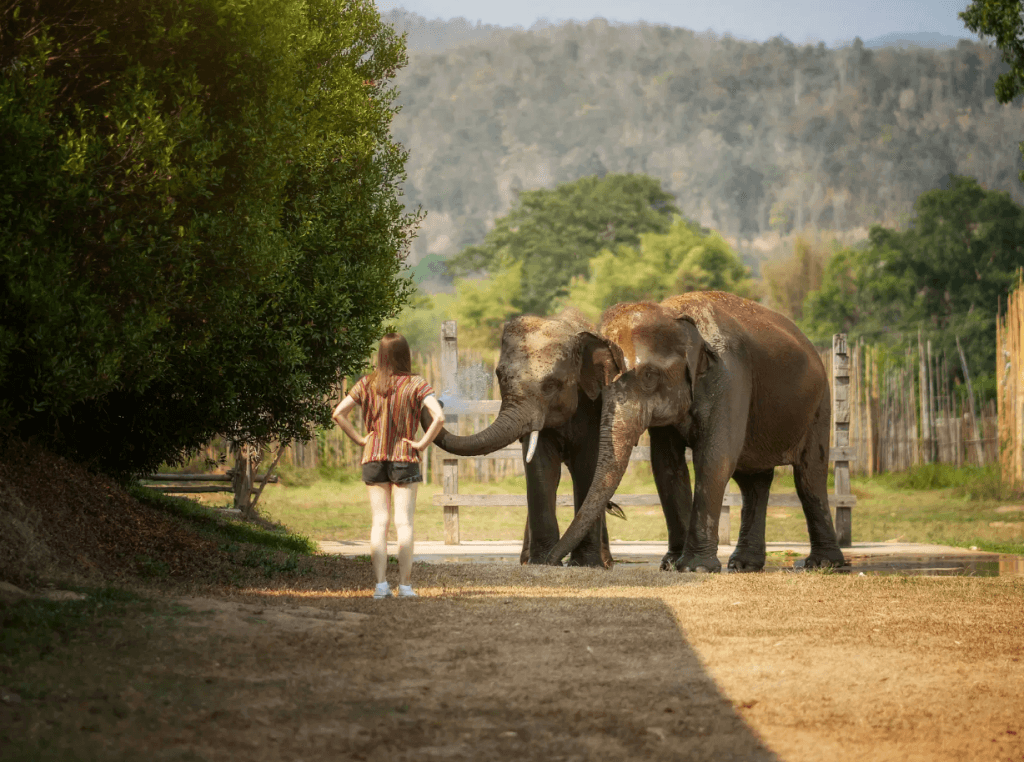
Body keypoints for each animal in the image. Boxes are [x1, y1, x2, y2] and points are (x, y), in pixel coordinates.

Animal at [425, 309, 628, 567]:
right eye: (500, 376)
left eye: (551, 385)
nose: (441, 400)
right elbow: (540, 469)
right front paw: (541, 562)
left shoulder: (594, 405)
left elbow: (586, 467)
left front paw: (585, 564)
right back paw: (526, 560)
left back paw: (605, 562)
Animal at [544, 291, 847, 573]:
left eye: (649, 376)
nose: (552, 561)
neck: (673, 313)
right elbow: (666, 466)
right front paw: (670, 564)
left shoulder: (730, 376)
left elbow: (714, 458)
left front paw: (695, 567)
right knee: (753, 482)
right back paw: (744, 565)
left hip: (820, 406)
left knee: (808, 478)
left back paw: (824, 564)